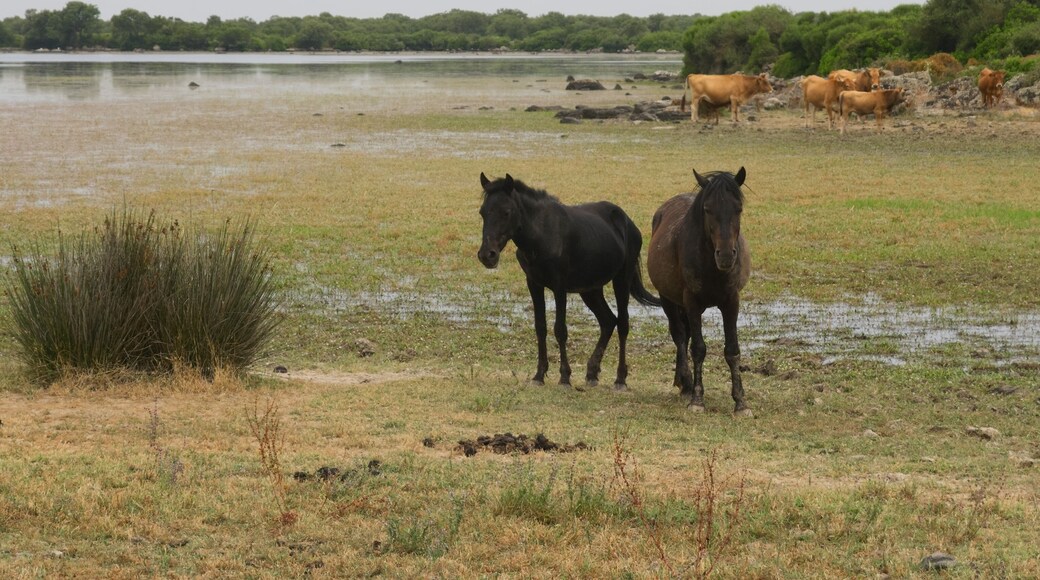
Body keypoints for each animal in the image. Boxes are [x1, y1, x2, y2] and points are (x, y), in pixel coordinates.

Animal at [477, 172, 661, 390]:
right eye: (482, 213)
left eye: (506, 212)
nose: (487, 255)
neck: (542, 234)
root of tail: (628, 223)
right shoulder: (534, 284)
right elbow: (540, 327)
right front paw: (539, 375)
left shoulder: (559, 287)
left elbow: (560, 329)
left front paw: (564, 377)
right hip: (590, 290)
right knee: (608, 321)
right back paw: (592, 373)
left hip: (621, 280)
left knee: (623, 324)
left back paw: (620, 379)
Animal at [646, 168, 752, 415]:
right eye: (707, 209)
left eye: (738, 208)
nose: (726, 255)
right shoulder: (692, 302)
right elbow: (698, 348)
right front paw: (697, 399)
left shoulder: (731, 301)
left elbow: (732, 350)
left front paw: (740, 402)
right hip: (669, 299)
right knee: (680, 335)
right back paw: (685, 382)